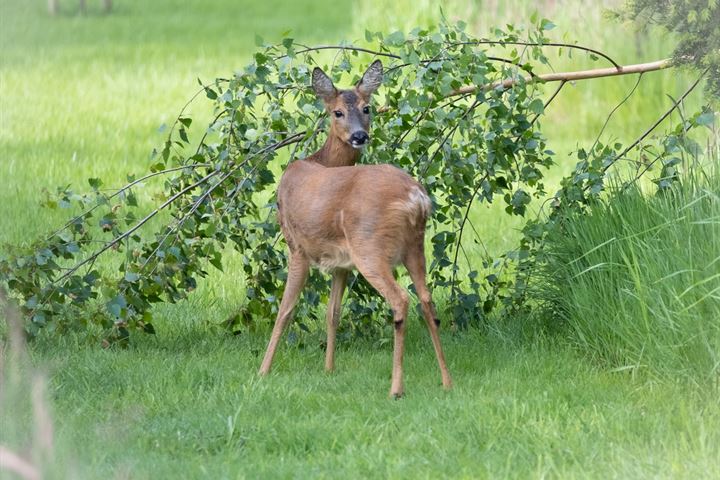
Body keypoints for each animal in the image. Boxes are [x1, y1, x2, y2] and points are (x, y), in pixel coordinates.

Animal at [258, 60, 450, 398]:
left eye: (367, 108)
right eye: (337, 112)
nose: (360, 135)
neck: (321, 161)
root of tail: (417, 197)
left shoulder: (297, 246)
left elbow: (285, 310)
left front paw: (262, 372)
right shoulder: (341, 263)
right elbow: (333, 313)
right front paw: (329, 369)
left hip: (370, 247)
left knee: (400, 299)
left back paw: (396, 388)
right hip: (414, 246)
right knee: (427, 300)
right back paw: (446, 381)